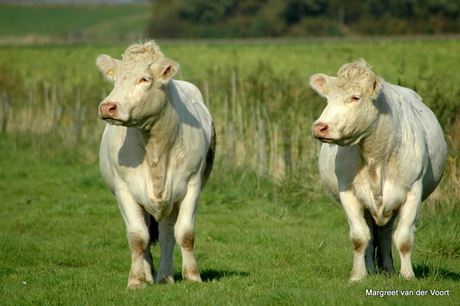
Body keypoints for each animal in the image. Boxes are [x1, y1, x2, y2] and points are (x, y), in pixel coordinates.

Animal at [95, 40, 217, 290]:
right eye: (115, 79)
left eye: (144, 78)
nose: (107, 107)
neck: (156, 149)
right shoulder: (124, 189)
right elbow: (137, 236)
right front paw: (136, 280)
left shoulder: (192, 185)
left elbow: (185, 233)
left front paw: (192, 276)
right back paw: (149, 275)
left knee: (167, 234)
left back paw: (165, 275)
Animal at [310, 58, 446, 280]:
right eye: (328, 98)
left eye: (355, 97)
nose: (319, 127)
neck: (377, 155)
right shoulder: (349, 192)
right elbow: (359, 237)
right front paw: (357, 276)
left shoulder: (413, 192)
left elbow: (404, 238)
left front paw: (408, 276)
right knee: (372, 235)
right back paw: (372, 269)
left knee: (385, 234)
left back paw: (389, 270)